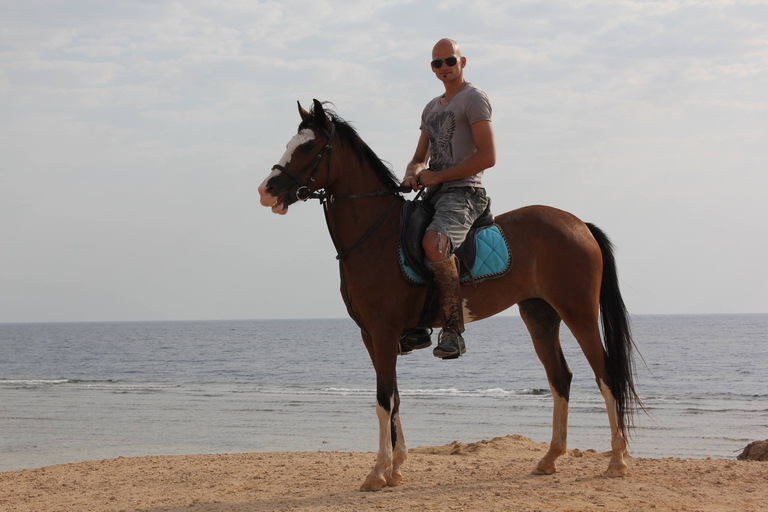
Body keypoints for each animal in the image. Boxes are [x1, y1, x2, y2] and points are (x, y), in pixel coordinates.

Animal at [260, 99, 640, 492]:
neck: (376, 235)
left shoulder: (382, 333)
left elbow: (383, 399)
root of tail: (580, 225)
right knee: (560, 378)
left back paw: (617, 460)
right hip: (540, 314)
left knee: (606, 375)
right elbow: (394, 397)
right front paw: (396, 466)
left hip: (578, 311)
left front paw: (378, 472)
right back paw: (550, 458)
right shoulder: (371, 336)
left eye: (308, 147)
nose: (266, 190)